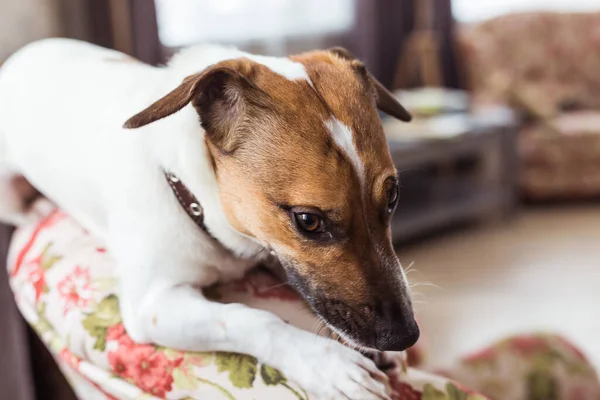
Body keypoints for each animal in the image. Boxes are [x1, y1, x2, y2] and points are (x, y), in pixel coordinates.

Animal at [1, 38, 418, 400]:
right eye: (308, 221)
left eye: (393, 197)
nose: (405, 337)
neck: (194, 195)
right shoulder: (152, 306)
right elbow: (247, 319)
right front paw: (326, 364)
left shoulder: (275, 252)